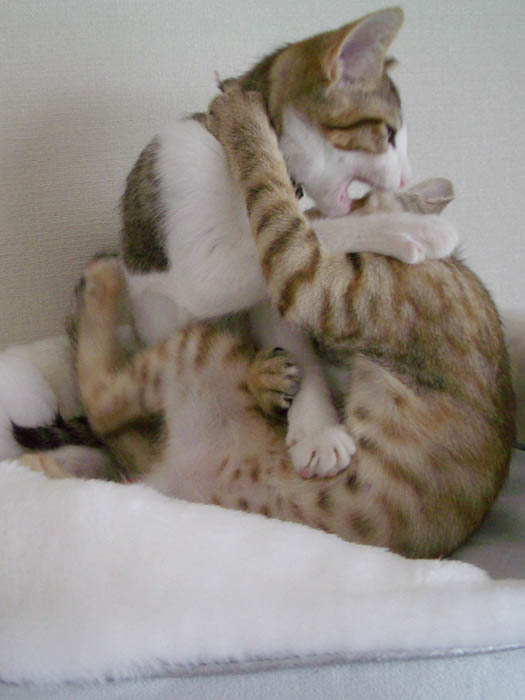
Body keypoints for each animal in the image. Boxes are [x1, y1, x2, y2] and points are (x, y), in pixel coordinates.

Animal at [117, 6, 457, 478]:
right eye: (387, 134)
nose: (406, 178)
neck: (231, 158)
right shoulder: (185, 189)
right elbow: (314, 231)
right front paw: (408, 226)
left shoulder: (274, 285)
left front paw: (316, 429)